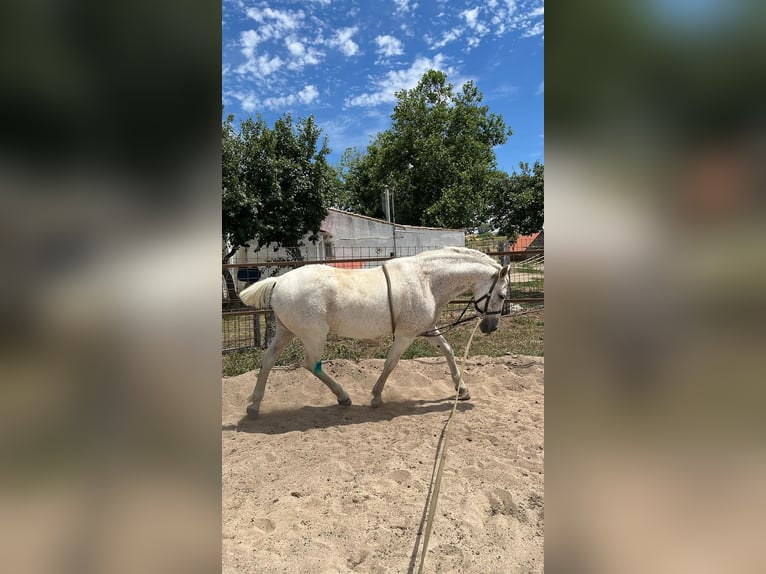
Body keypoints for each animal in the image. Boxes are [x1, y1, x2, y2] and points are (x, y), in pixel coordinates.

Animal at [240, 248, 510, 418]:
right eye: (501, 294)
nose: (490, 328)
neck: (426, 280)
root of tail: (279, 281)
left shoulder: (426, 329)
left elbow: (447, 350)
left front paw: (462, 390)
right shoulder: (405, 335)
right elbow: (391, 363)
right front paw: (376, 397)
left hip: (285, 332)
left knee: (268, 360)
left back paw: (254, 406)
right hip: (313, 335)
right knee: (311, 364)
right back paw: (343, 397)